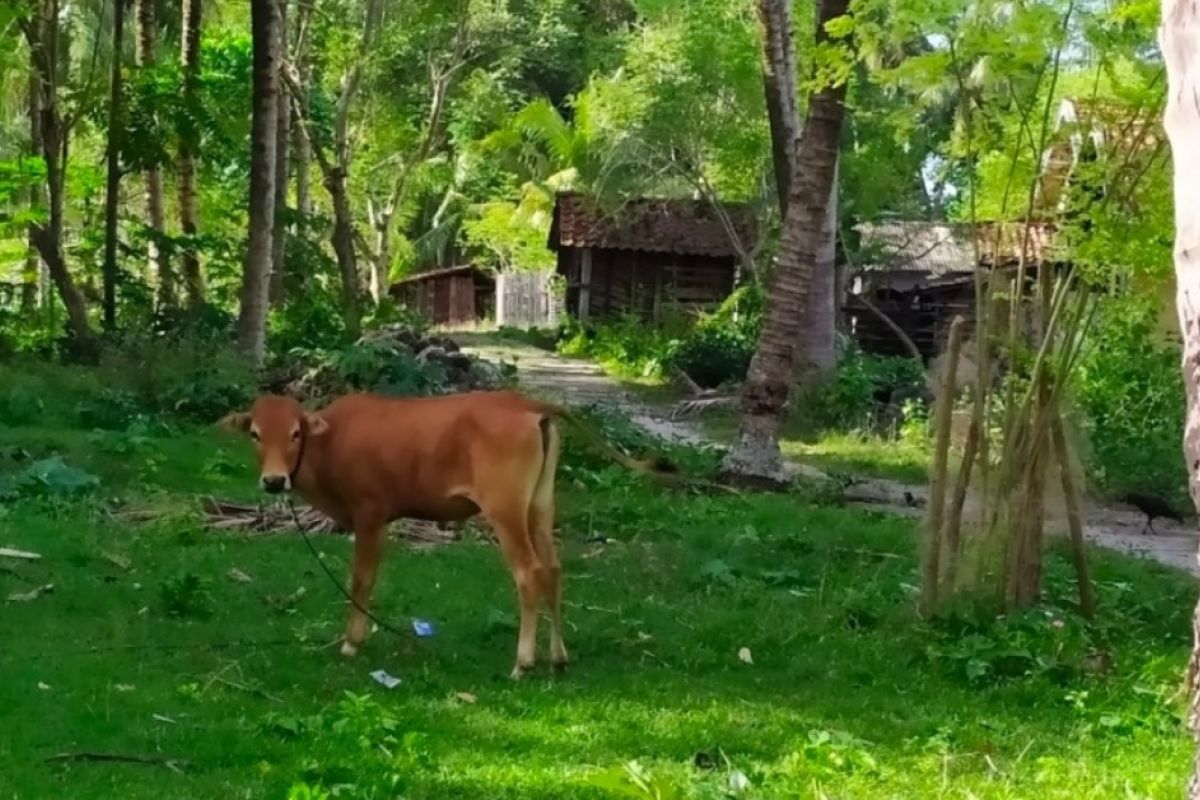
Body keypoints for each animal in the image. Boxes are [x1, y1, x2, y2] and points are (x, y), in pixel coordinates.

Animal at [216, 391, 667, 681]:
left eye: (295, 432)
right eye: (255, 433)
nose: (274, 480)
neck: (331, 442)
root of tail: (525, 402)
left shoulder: (370, 513)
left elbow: (361, 578)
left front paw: (352, 642)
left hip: (504, 508)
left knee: (529, 573)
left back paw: (523, 663)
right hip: (539, 505)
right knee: (553, 570)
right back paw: (558, 658)